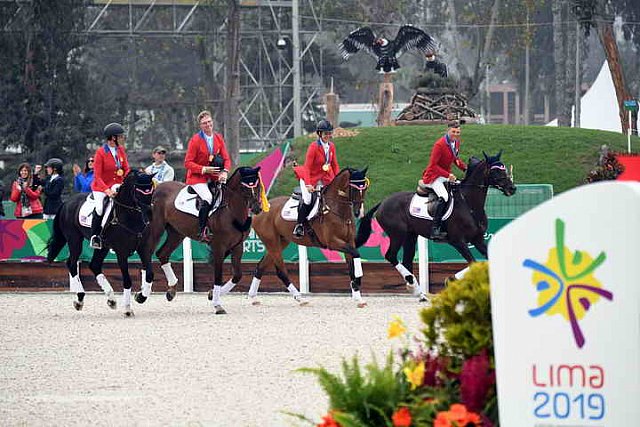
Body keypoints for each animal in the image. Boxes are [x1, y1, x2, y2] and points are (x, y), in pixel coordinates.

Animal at [46, 171, 155, 318]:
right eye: (138, 191)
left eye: (151, 191)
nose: (149, 215)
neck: (131, 217)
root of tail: (67, 203)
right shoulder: (121, 252)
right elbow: (127, 280)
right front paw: (127, 309)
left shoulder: (144, 249)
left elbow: (149, 274)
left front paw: (140, 297)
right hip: (74, 239)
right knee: (72, 263)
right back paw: (80, 299)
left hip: (102, 246)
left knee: (94, 265)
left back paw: (111, 299)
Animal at [137, 166, 262, 314]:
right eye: (244, 186)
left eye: (257, 185)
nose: (257, 208)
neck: (231, 211)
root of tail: (157, 188)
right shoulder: (219, 247)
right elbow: (218, 276)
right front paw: (217, 304)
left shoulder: (237, 246)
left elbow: (237, 275)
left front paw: (212, 294)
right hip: (156, 228)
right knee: (147, 252)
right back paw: (142, 294)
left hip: (176, 233)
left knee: (162, 254)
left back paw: (171, 289)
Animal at [250, 167, 370, 308]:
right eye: (354, 189)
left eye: (364, 188)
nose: (358, 212)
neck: (337, 210)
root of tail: (260, 210)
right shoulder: (333, 242)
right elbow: (356, 254)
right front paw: (359, 278)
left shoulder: (349, 241)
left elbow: (352, 266)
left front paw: (358, 297)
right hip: (272, 243)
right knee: (281, 271)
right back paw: (300, 298)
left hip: (280, 242)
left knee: (260, 267)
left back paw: (253, 297)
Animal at [356, 152, 516, 300]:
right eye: (496, 171)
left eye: (504, 168)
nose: (512, 188)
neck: (469, 204)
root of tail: (383, 202)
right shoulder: (458, 241)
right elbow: (473, 263)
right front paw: (451, 280)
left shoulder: (478, 239)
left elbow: (485, 260)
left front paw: (452, 279)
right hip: (397, 234)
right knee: (391, 255)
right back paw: (413, 286)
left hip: (410, 235)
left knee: (407, 261)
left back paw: (418, 292)